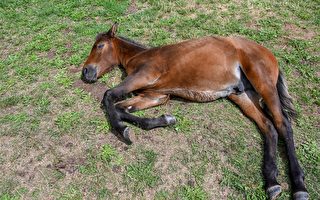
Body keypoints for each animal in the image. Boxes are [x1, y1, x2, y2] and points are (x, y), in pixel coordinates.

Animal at [81, 23, 308, 200]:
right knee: (268, 126)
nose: (85, 71)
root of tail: (268, 52)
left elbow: (109, 97)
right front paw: (165, 119)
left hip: (264, 83)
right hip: (242, 94)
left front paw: (122, 130)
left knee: (282, 124)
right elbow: (122, 109)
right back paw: (272, 183)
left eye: (99, 46)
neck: (140, 56)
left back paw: (299, 187)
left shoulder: (144, 76)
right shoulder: (154, 95)